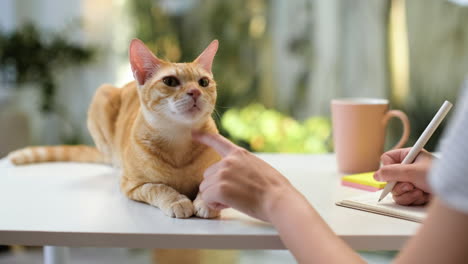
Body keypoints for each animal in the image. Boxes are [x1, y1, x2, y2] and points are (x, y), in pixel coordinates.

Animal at [7, 38, 223, 219]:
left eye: (203, 82)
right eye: (170, 81)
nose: (195, 92)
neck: (179, 139)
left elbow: (207, 184)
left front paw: (207, 200)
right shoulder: (133, 184)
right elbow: (158, 187)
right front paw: (177, 200)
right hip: (101, 96)